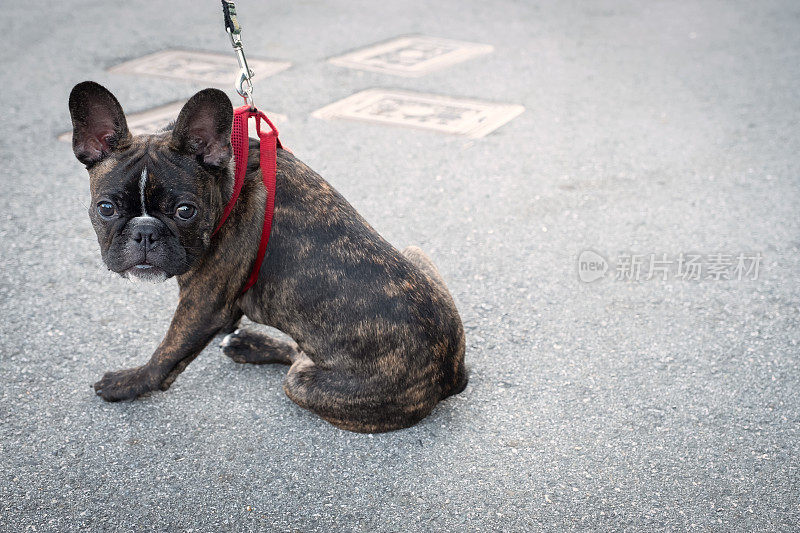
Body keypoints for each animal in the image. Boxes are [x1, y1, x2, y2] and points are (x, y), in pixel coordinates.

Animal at [71, 82, 468, 432]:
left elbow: (166, 353)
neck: (228, 182)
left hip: (303, 383)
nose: (145, 232)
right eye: (105, 208)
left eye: (185, 211)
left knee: (297, 362)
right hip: (414, 251)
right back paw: (247, 343)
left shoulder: (202, 305)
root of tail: (453, 372)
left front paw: (128, 383)